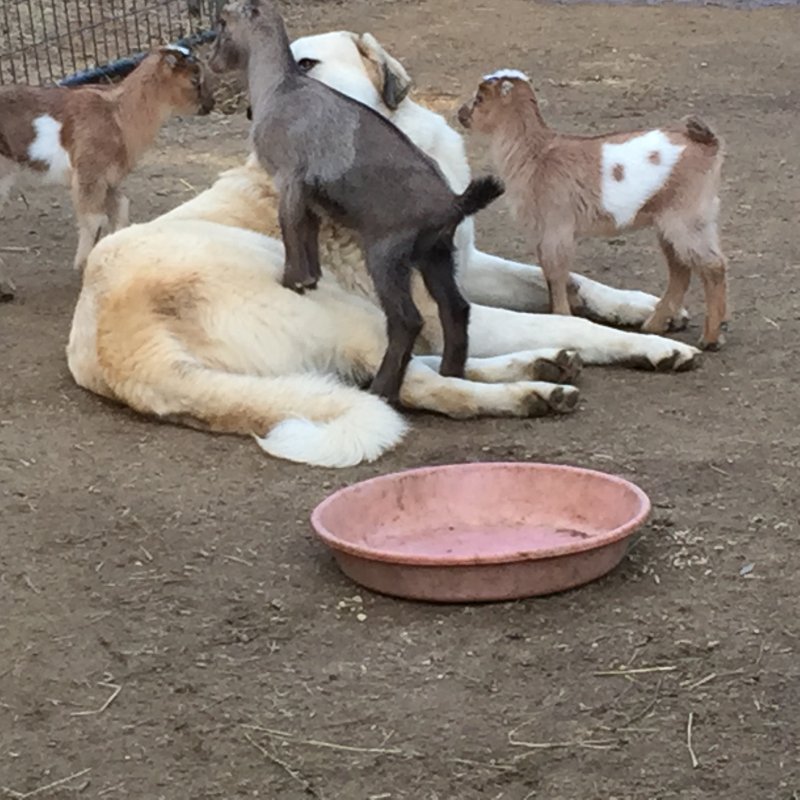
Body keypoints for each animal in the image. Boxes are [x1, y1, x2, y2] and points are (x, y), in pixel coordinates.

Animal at [65, 31, 696, 468]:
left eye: (304, 65)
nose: (253, 112)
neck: (390, 139)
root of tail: (122, 352)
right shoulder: (441, 303)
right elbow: (566, 321)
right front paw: (653, 348)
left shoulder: (465, 264)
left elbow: (566, 283)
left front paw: (645, 307)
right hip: (335, 303)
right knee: (414, 385)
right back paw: (534, 390)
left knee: (398, 376)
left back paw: (540, 368)